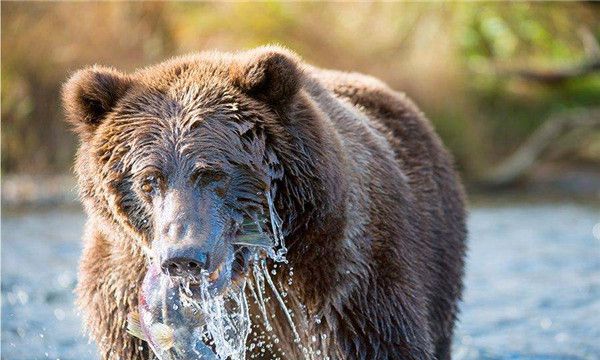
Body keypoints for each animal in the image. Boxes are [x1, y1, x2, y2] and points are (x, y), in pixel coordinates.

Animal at [64, 45, 468, 360]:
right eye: (149, 179)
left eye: (213, 173)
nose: (184, 258)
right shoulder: (124, 289)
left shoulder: (346, 276)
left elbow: (376, 336)